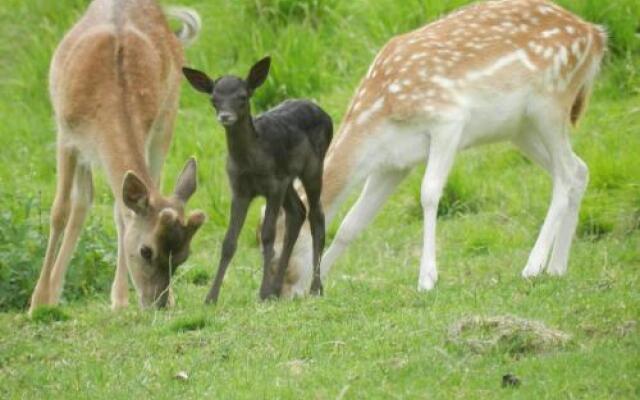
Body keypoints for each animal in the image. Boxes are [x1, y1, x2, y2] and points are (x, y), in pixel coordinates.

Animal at [29, 0, 205, 312]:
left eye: (185, 255)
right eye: (146, 251)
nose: (158, 303)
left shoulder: (148, 130)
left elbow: (122, 215)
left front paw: (120, 300)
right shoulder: (66, 134)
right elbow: (59, 210)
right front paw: (37, 302)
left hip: (167, 119)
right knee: (82, 201)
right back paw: (53, 293)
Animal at [180, 57, 330, 304]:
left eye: (242, 96)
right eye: (214, 99)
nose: (225, 116)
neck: (251, 161)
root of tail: (326, 115)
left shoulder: (273, 185)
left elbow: (268, 235)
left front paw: (262, 293)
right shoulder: (240, 189)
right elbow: (229, 241)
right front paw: (211, 297)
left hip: (313, 167)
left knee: (317, 215)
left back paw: (315, 288)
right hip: (287, 178)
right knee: (297, 212)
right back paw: (278, 288)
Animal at [264, 0, 604, 296]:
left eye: (280, 242)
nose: (279, 293)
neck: (378, 114)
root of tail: (596, 35)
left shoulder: (448, 120)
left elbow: (428, 193)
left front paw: (427, 279)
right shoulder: (393, 164)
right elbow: (352, 222)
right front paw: (320, 285)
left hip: (550, 102)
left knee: (566, 174)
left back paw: (533, 267)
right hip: (519, 128)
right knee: (580, 169)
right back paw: (557, 267)